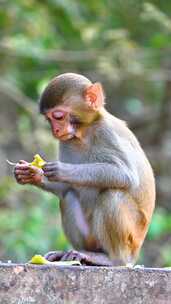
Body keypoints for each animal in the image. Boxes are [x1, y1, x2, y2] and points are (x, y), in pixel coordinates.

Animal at [14, 73, 155, 266]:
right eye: (49, 119)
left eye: (58, 116)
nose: (55, 130)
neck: (85, 131)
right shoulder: (66, 141)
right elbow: (66, 188)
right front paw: (32, 174)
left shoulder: (107, 132)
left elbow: (126, 175)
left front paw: (62, 170)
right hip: (91, 238)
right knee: (68, 196)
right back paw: (78, 253)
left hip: (131, 240)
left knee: (112, 195)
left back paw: (112, 259)